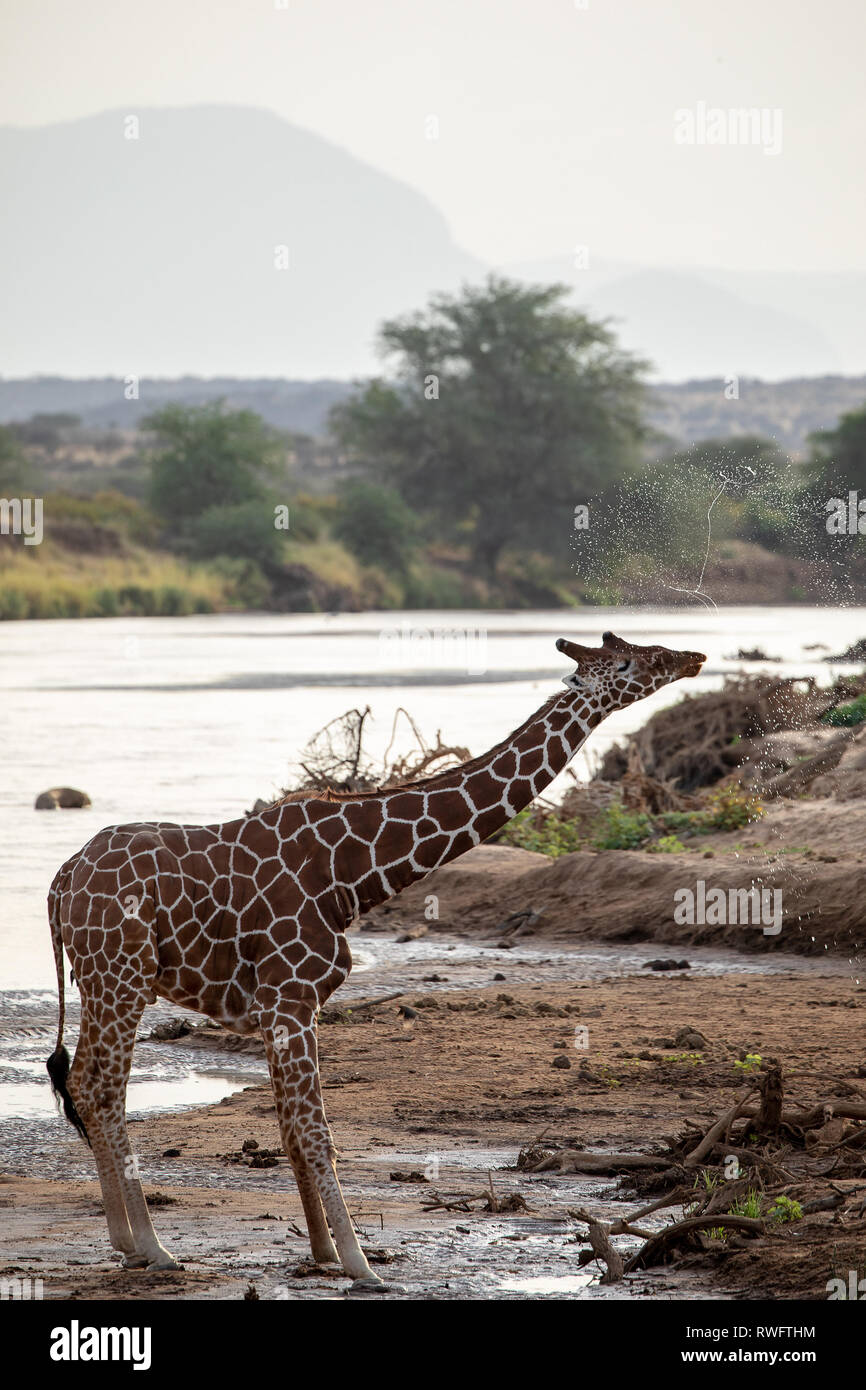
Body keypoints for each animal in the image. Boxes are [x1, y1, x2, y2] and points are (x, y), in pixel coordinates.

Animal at [45, 636, 706, 1284]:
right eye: (628, 661)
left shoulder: (286, 1007)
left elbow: (291, 1130)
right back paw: (151, 1247)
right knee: (101, 1087)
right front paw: (362, 1264)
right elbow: (317, 1134)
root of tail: (62, 880)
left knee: (85, 1083)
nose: (691, 658)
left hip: (99, 981)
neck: (353, 872)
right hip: (122, 978)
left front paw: (322, 1251)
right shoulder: (290, 998)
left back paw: (130, 1244)